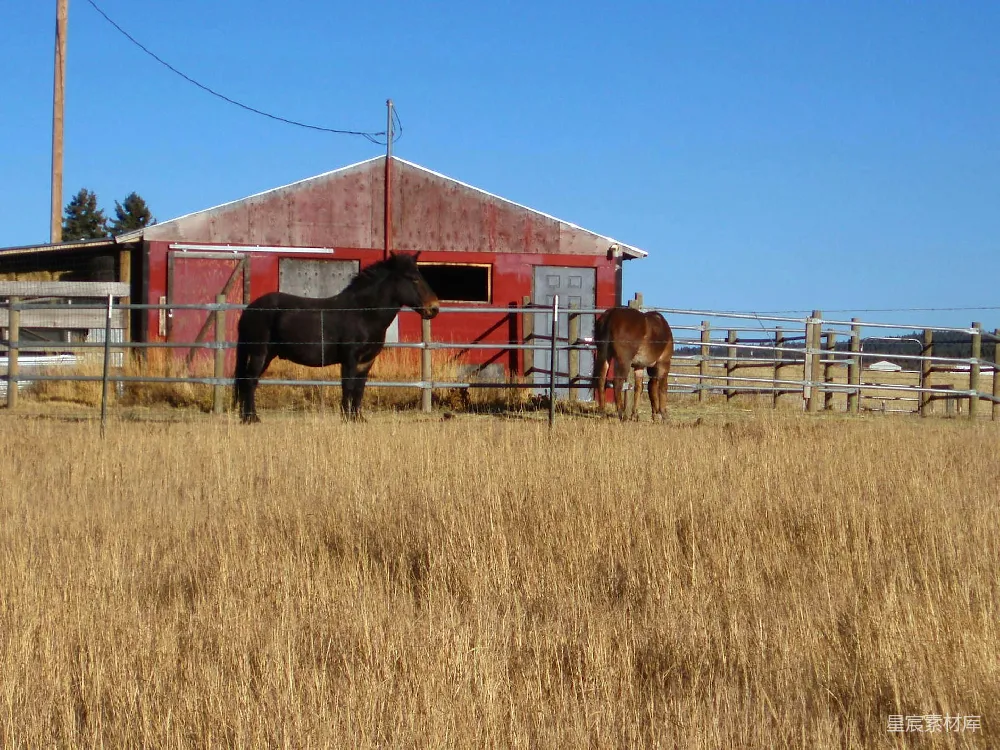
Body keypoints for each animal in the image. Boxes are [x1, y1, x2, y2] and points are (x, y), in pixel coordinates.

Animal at [233, 252, 439, 423]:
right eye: (413, 279)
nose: (434, 308)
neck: (363, 314)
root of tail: (249, 309)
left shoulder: (366, 361)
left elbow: (359, 389)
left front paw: (358, 418)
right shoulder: (350, 358)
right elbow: (348, 386)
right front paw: (346, 417)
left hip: (267, 354)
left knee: (249, 381)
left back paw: (247, 417)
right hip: (259, 353)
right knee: (249, 381)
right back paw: (251, 418)